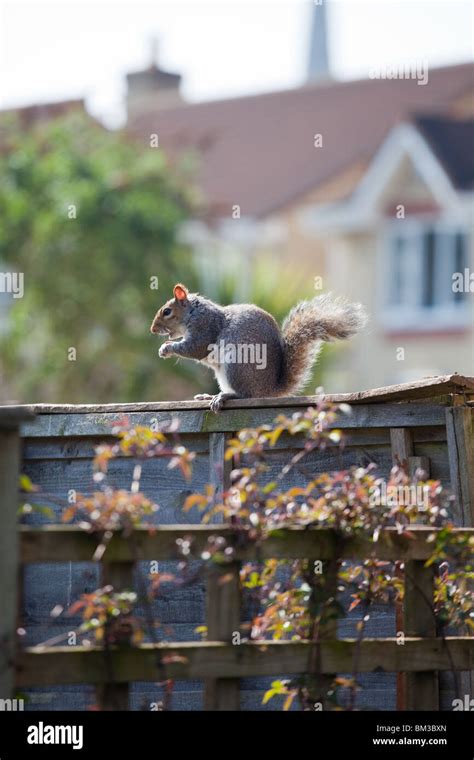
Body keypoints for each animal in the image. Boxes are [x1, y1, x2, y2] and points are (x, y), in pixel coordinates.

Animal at [151, 284, 366, 412]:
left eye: (167, 311)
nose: (152, 329)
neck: (193, 312)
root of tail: (269, 390)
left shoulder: (204, 328)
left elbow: (194, 348)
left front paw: (167, 349)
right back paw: (209, 395)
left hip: (237, 367)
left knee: (245, 395)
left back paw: (225, 396)